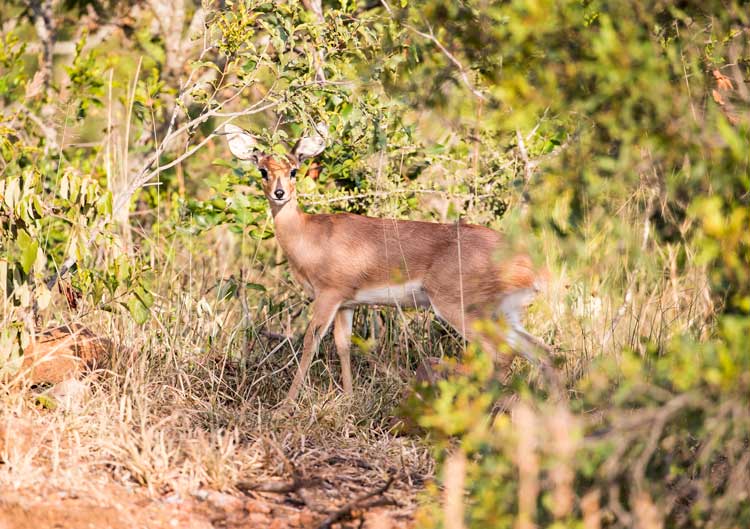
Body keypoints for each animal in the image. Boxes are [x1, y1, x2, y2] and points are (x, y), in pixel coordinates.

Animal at [223, 124, 548, 400]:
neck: (310, 235)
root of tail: (529, 265)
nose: (279, 194)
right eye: (263, 170)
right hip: (505, 313)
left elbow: (310, 343)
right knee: (540, 352)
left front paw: (287, 404)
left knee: (501, 353)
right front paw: (349, 397)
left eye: (293, 170)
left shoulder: (328, 296)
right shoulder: (347, 303)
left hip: (460, 308)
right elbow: (343, 345)